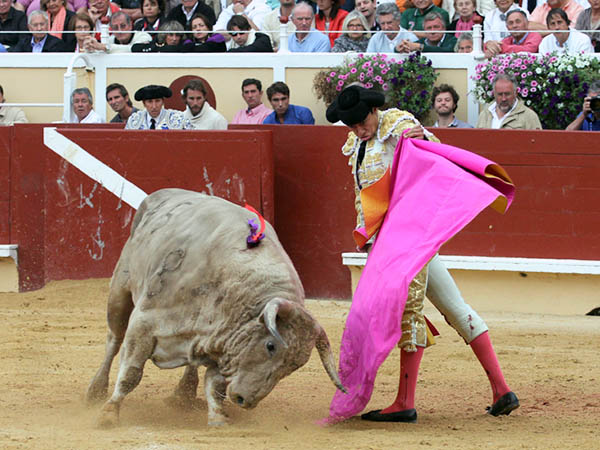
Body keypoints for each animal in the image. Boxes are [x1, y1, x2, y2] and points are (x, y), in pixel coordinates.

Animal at [86, 188, 344, 428]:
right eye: (271, 345)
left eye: (294, 366)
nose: (244, 400)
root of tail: (159, 195)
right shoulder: (143, 324)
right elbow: (130, 373)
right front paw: (108, 415)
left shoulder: (224, 344)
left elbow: (215, 385)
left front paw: (219, 419)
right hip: (120, 289)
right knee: (114, 339)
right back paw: (95, 390)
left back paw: (183, 396)